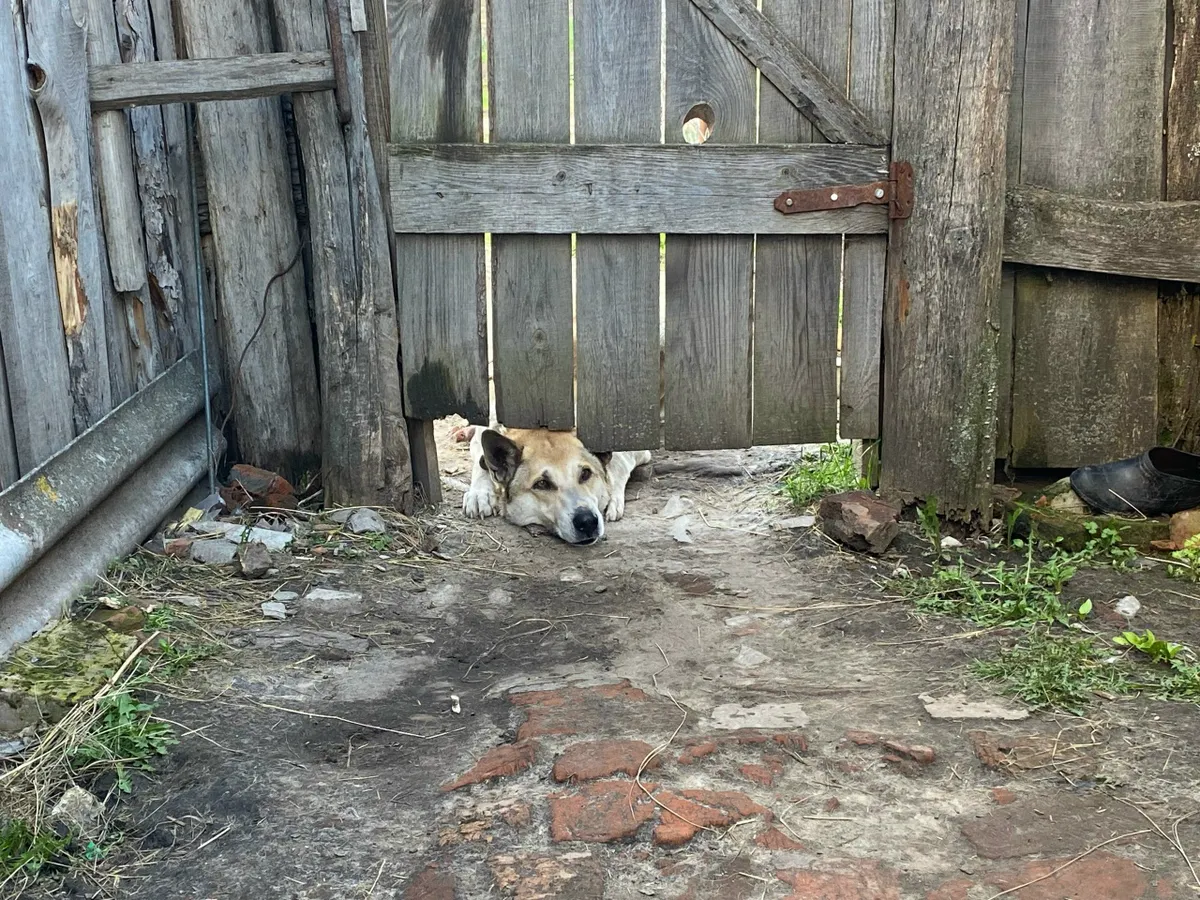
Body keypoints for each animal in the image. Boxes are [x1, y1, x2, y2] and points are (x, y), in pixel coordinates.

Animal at [462, 424, 652, 544]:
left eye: (585, 474)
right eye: (542, 484)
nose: (587, 521)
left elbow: (618, 462)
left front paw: (612, 498)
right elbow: (480, 459)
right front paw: (479, 494)